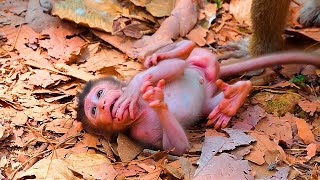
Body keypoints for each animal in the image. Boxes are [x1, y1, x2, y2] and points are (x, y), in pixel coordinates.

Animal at [77, 40, 320, 155]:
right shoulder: (139, 133)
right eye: (93, 111)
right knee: (215, 102)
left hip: (201, 59)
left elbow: (170, 68)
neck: (140, 110)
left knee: (178, 58)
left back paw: (176, 51)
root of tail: (214, 75)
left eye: (100, 93)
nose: (104, 104)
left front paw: (136, 89)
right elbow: (176, 147)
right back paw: (236, 96)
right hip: (208, 102)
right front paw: (158, 101)